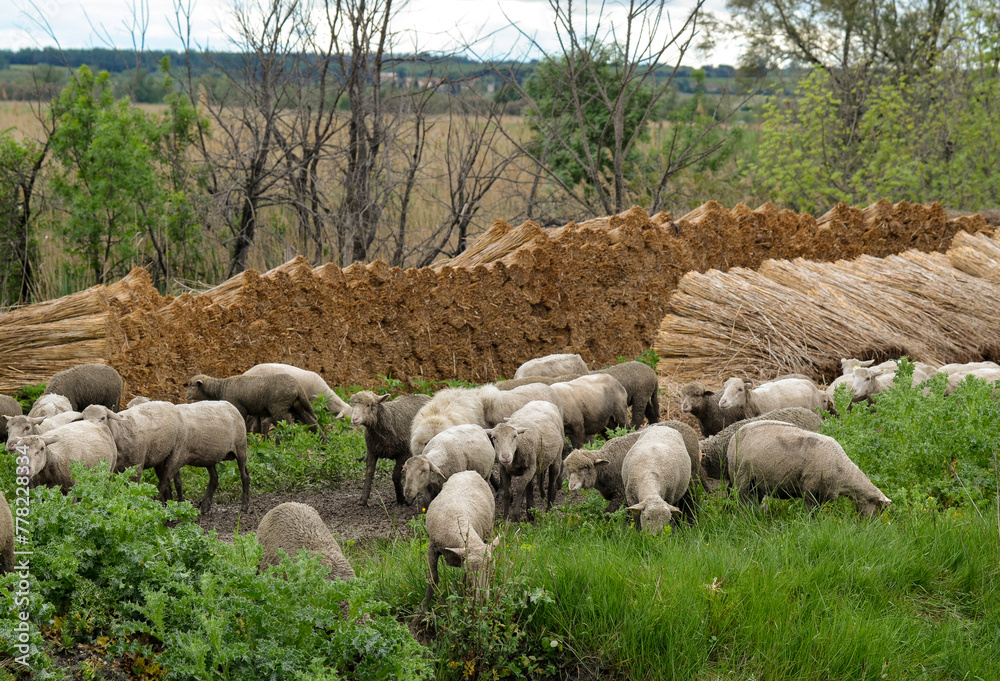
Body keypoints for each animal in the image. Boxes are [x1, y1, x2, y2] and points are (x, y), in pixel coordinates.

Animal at [186, 373, 321, 438]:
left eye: (192, 385)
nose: (186, 396)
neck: (219, 389)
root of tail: (297, 386)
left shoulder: (240, 409)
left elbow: (244, 425)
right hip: (297, 405)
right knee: (312, 422)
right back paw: (321, 442)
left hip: (279, 408)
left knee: (286, 426)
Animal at [422, 470, 500, 610]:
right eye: (471, 571)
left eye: (492, 570)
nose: (482, 600)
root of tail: (469, 471)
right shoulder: (433, 547)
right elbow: (432, 578)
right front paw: (424, 610)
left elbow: (464, 582)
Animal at [563, 419, 698, 514]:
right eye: (568, 470)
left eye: (586, 467)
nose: (572, 486)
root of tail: (687, 426)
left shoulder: (621, 494)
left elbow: (608, 514)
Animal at [726, 420, 891, 516]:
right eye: (880, 508)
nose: (872, 527)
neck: (843, 471)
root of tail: (733, 438)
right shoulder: (811, 488)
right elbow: (810, 511)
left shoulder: (823, 493)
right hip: (741, 477)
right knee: (743, 501)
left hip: (756, 483)